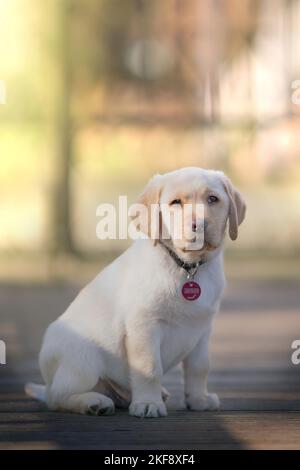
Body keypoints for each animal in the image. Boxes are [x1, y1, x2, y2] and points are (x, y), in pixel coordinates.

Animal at [25, 167, 246, 416]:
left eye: (212, 199)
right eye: (176, 202)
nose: (199, 224)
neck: (188, 268)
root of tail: (47, 384)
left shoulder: (202, 329)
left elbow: (199, 367)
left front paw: (198, 399)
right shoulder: (144, 325)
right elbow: (149, 367)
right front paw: (148, 403)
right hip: (82, 359)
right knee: (58, 398)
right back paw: (93, 402)